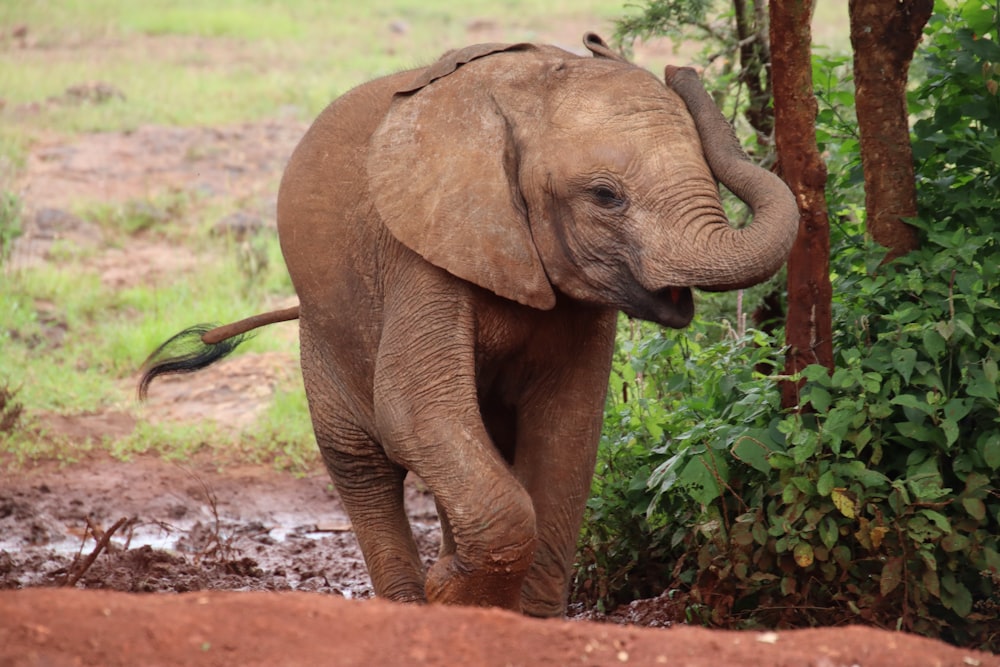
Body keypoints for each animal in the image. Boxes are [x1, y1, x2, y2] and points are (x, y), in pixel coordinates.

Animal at [139, 30, 796, 616]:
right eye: (606, 197)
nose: (677, 69)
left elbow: (567, 426)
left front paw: (518, 619)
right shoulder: (421, 251)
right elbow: (413, 409)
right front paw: (452, 597)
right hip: (325, 327)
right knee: (362, 461)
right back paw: (409, 607)